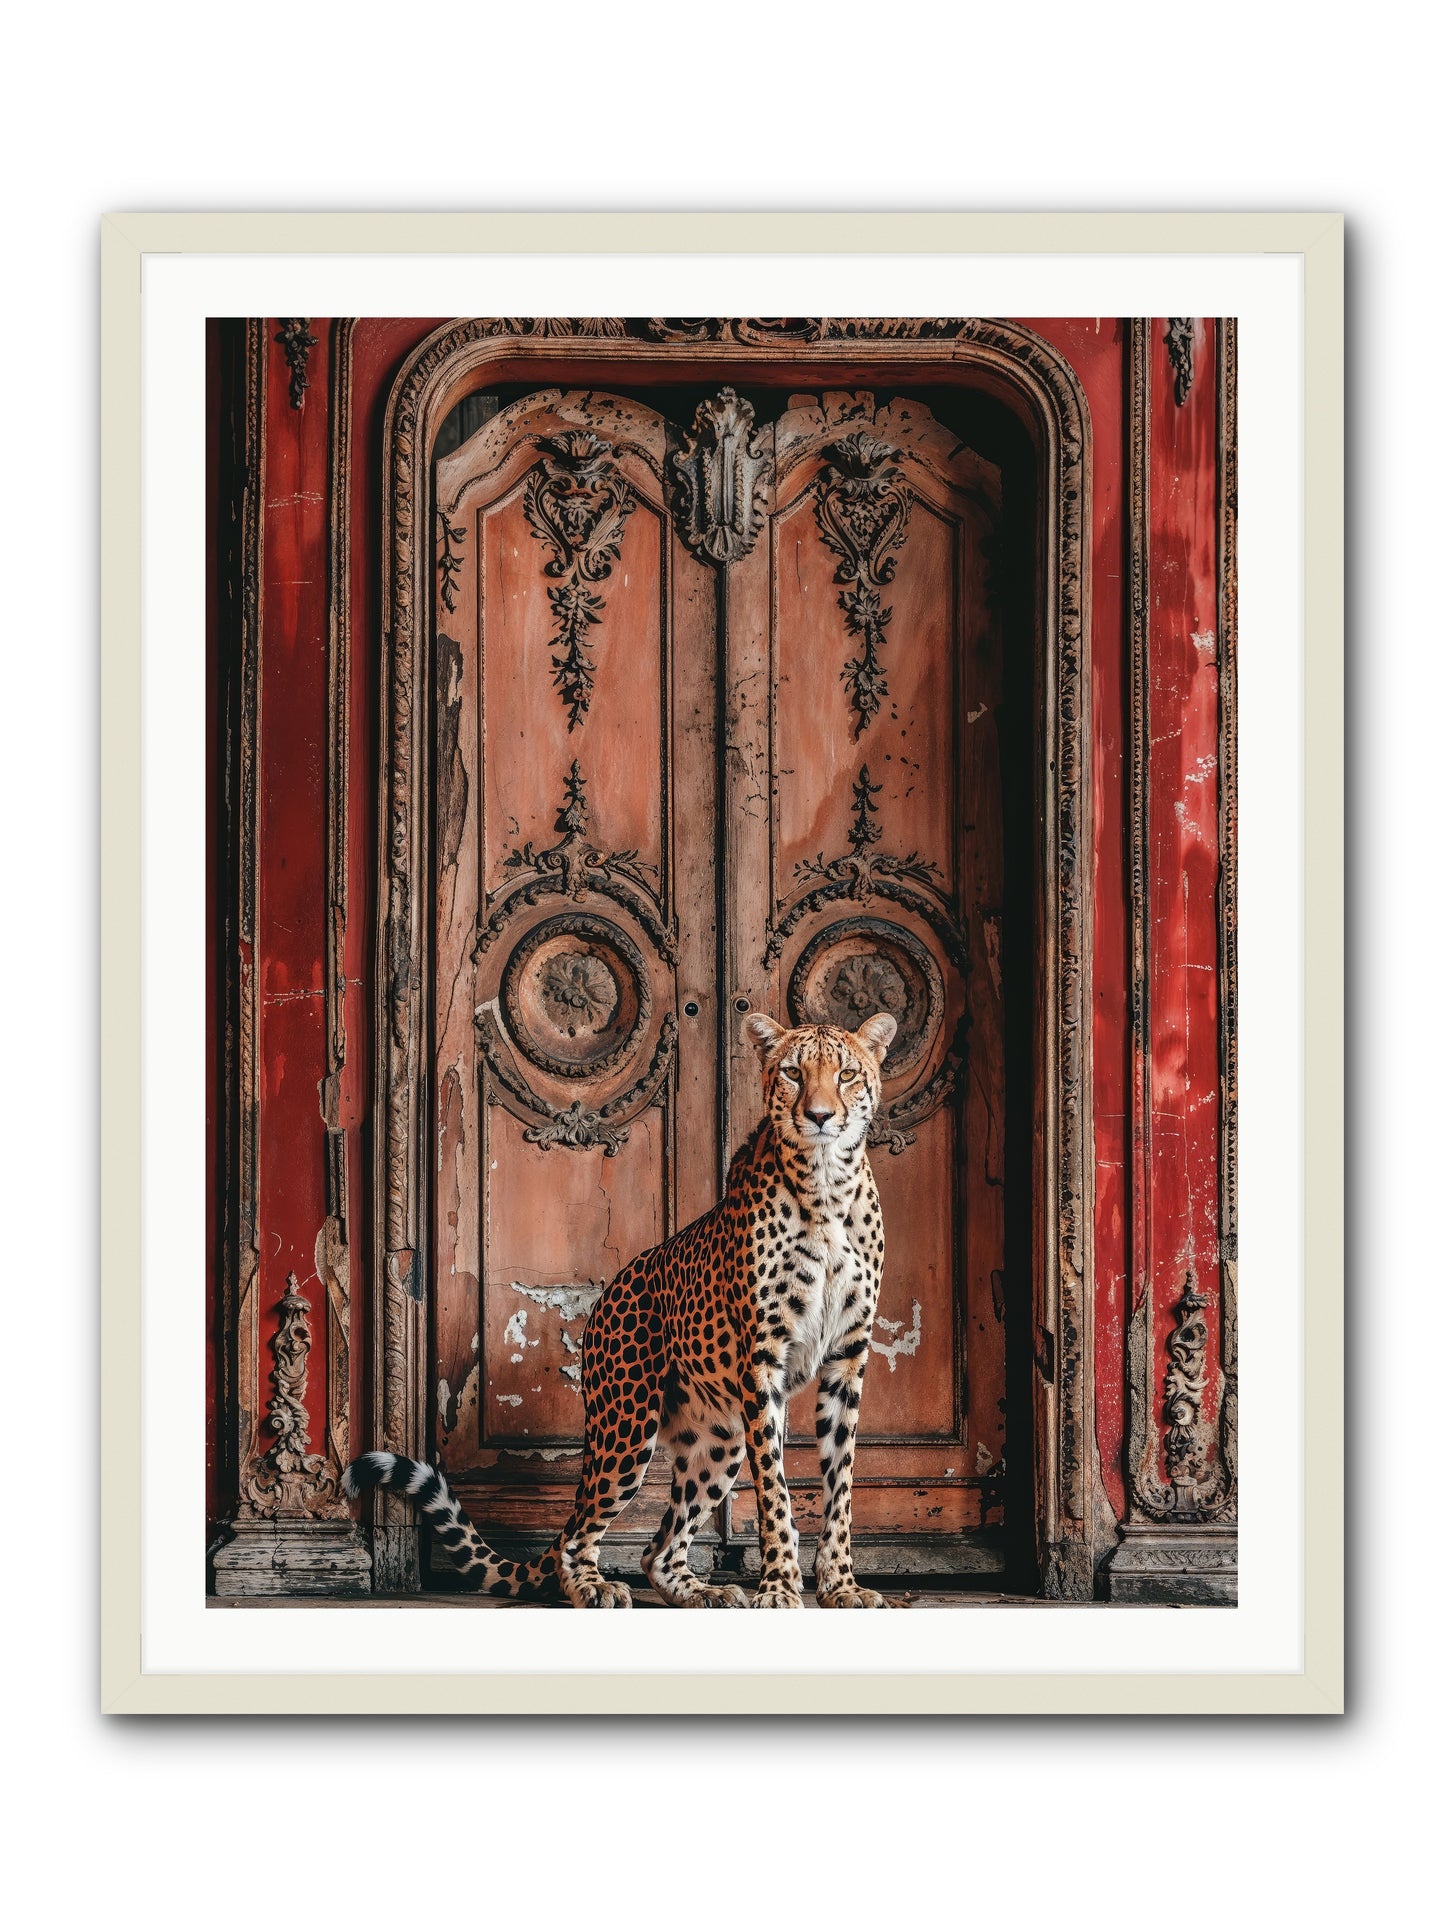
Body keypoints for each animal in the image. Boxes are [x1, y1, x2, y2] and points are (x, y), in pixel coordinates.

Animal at [343, 1008, 899, 1608]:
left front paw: (841, 1586)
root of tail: (609, 1291)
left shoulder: (847, 1356)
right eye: (794, 1073)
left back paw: (704, 1592)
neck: (827, 1187)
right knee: (578, 1535)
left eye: (846, 1074)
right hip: (627, 1425)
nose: (820, 1116)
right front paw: (778, 1587)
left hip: (719, 1440)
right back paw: (595, 1586)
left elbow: (840, 1484)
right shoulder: (763, 1360)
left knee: (656, 1550)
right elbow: (775, 1487)